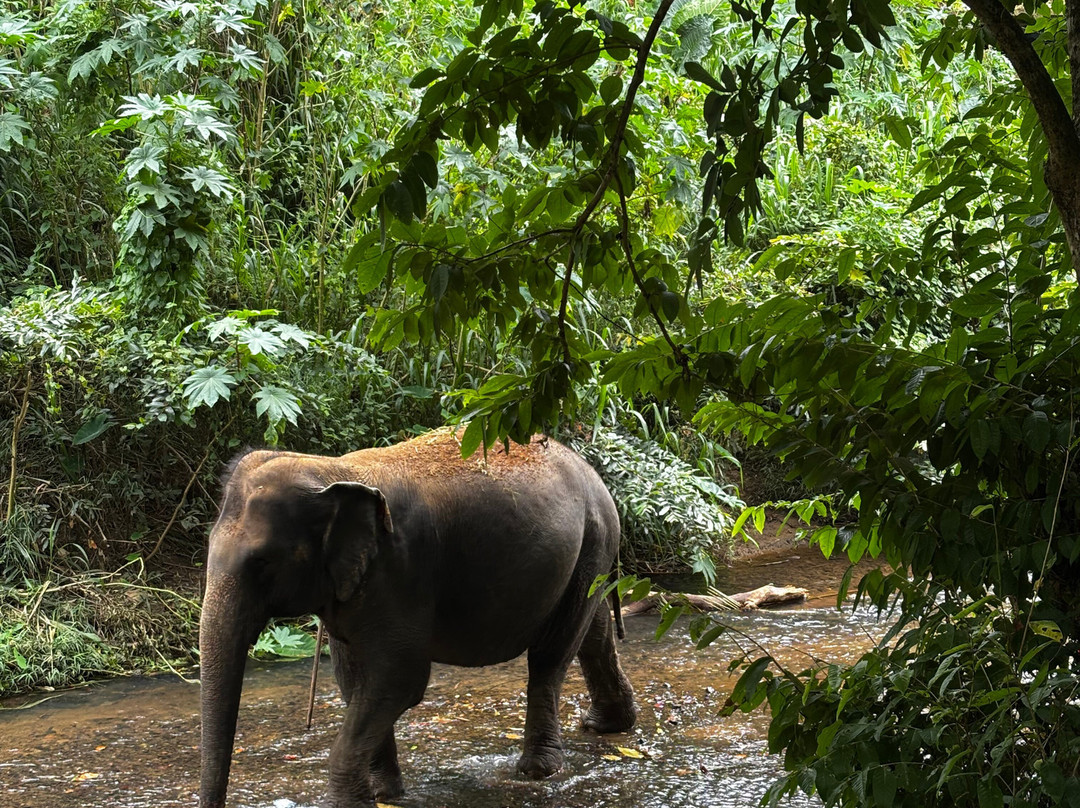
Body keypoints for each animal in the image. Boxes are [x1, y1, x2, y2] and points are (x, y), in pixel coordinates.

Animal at [199, 429, 637, 808]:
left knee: (550, 656)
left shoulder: (400, 572)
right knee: (592, 629)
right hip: (588, 553)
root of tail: (591, 471)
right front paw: (384, 795)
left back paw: (538, 772)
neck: (332, 470)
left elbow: (400, 679)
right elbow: (354, 680)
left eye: (262, 562)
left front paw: (355, 802)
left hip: (593, 540)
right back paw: (606, 726)